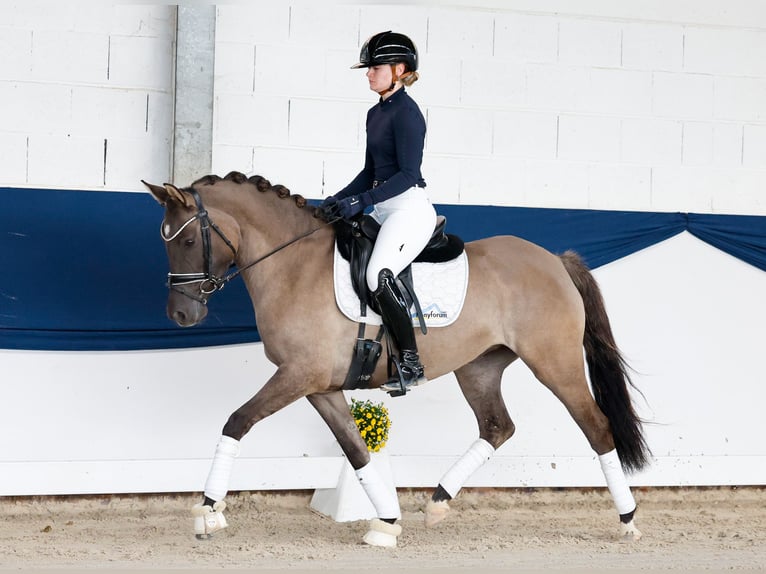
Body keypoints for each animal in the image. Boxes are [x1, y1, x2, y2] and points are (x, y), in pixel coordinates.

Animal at [143, 171, 651, 547]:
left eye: (186, 242)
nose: (181, 315)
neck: (293, 265)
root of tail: (554, 259)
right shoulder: (318, 384)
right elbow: (356, 449)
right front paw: (386, 523)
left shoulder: (297, 375)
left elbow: (237, 421)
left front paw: (207, 512)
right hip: (479, 366)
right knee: (497, 427)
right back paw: (437, 503)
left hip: (555, 364)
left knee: (597, 427)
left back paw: (628, 520)